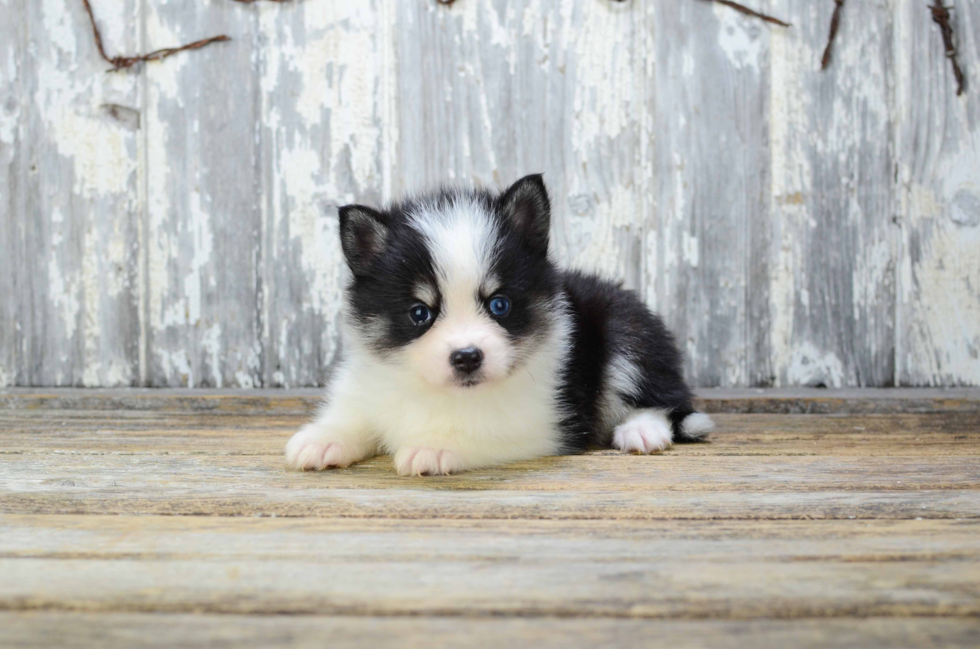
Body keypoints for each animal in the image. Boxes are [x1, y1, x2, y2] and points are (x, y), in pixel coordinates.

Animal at [284, 175, 712, 474]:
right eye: (420, 313)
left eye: (499, 305)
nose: (467, 357)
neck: (436, 391)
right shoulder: (369, 385)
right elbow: (355, 414)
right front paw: (322, 439)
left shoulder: (533, 421)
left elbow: (479, 430)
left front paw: (434, 446)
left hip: (628, 331)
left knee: (665, 397)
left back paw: (641, 430)